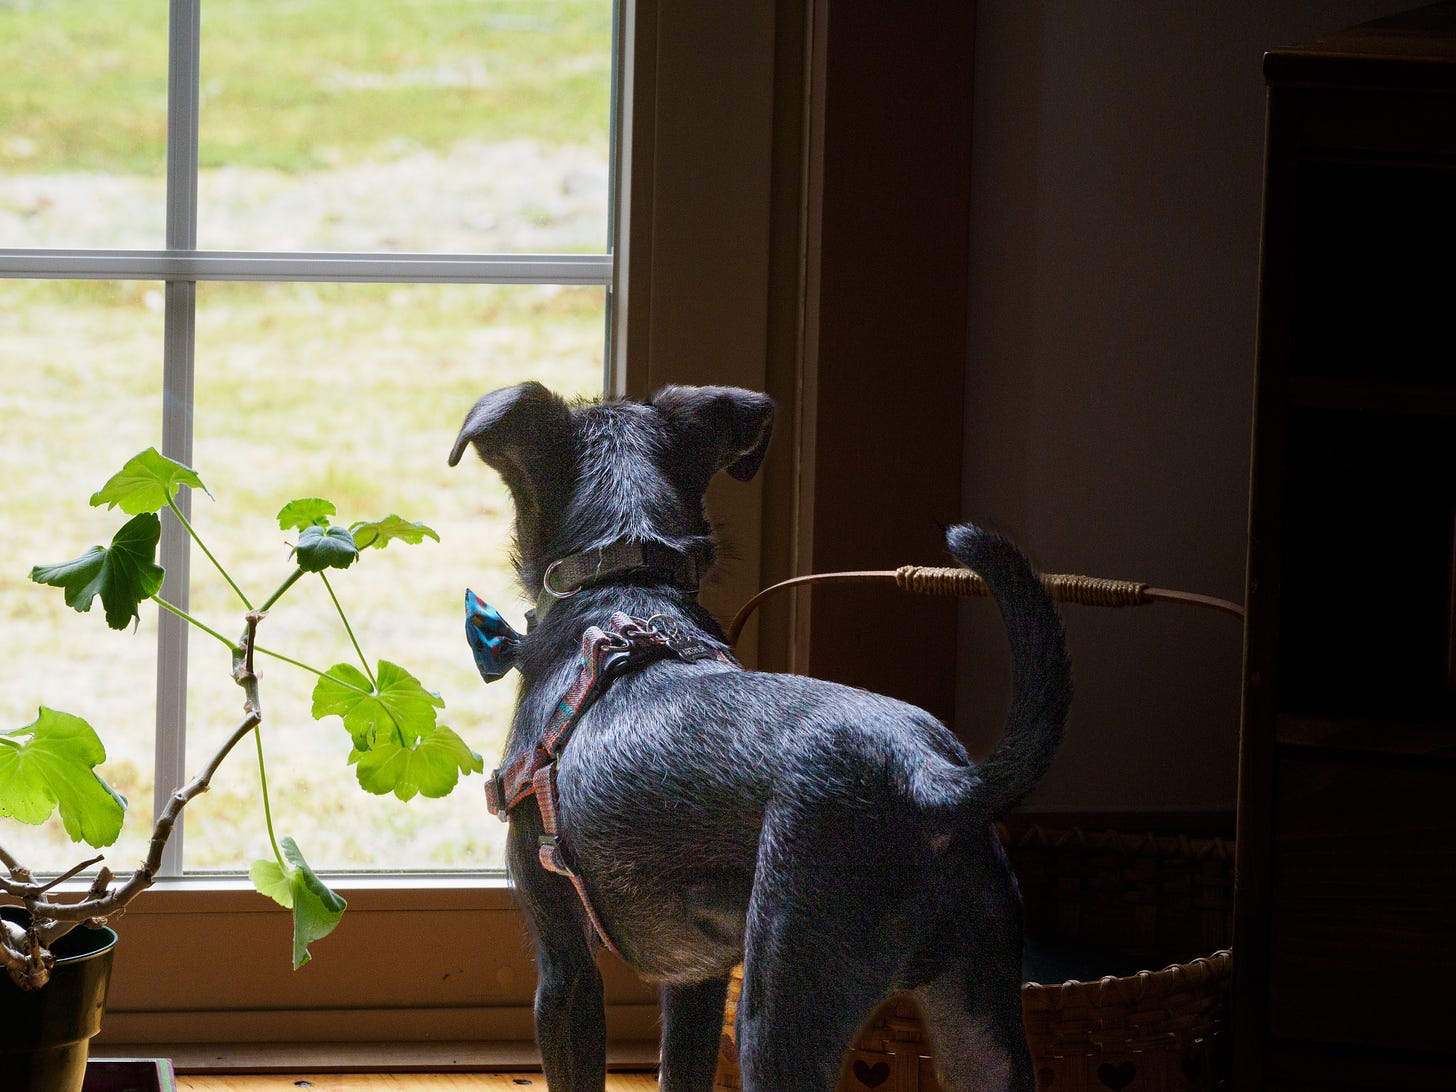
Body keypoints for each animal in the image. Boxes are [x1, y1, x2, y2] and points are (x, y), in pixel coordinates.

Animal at [448, 384, 1077, 1092]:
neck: (623, 589)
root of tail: (931, 779)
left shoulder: (564, 969)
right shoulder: (697, 977)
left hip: (781, 1005)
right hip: (981, 1023)